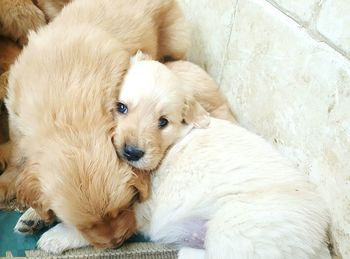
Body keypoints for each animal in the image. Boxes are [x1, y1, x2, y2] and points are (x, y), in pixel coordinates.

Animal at [22, 51, 330, 258]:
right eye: (121, 107)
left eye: (163, 122)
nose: (131, 152)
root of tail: (320, 244)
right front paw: (34, 215)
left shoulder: (138, 207)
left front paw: (56, 236)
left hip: (234, 231)